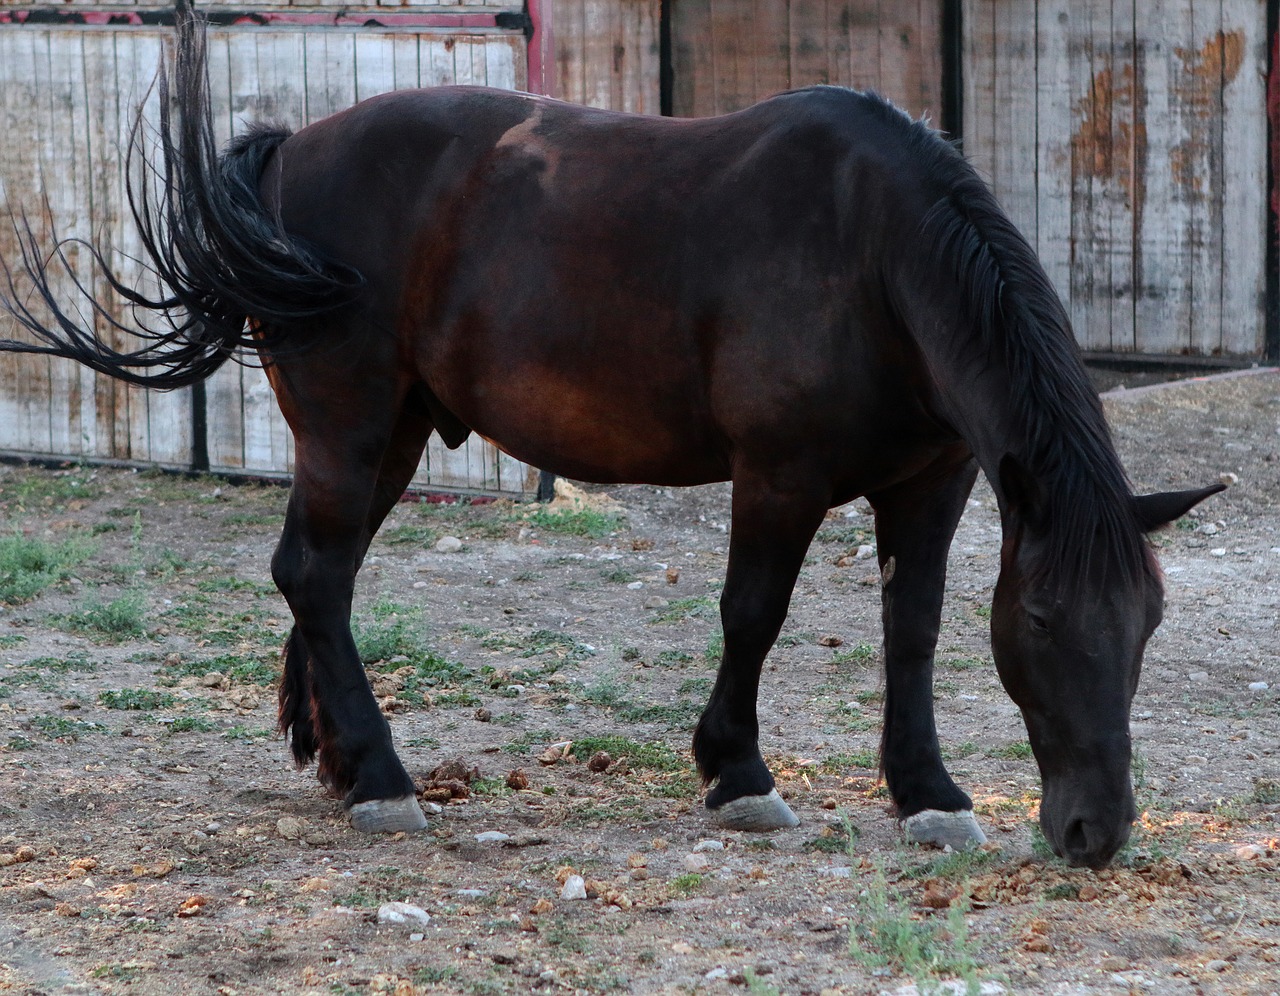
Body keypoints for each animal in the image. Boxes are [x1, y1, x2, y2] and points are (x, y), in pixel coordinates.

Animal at [0, 5, 1218, 860]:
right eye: (1047, 621)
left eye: (1147, 622)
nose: (1095, 833)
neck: (875, 257)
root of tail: (291, 150)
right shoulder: (777, 479)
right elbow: (753, 615)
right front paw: (738, 776)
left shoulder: (936, 481)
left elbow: (910, 629)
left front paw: (927, 795)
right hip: (349, 427)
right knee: (315, 573)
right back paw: (384, 780)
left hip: (391, 436)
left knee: (316, 575)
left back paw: (341, 761)